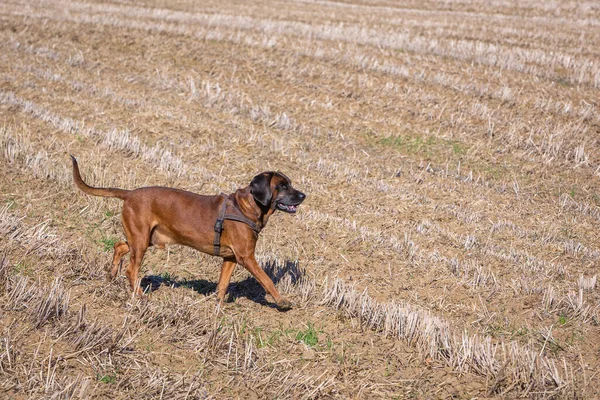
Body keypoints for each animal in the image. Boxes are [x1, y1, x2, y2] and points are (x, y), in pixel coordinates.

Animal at [69, 155, 304, 310]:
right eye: (282, 186)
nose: (304, 195)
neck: (246, 206)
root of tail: (129, 194)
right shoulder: (247, 257)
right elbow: (267, 279)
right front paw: (282, 301)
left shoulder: (230, 258)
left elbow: (222, 285)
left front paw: (217, 308)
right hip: (141, 240)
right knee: (131, 270)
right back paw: (139, 296)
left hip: (143, 238)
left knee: (119, 246)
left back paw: (111, 275)